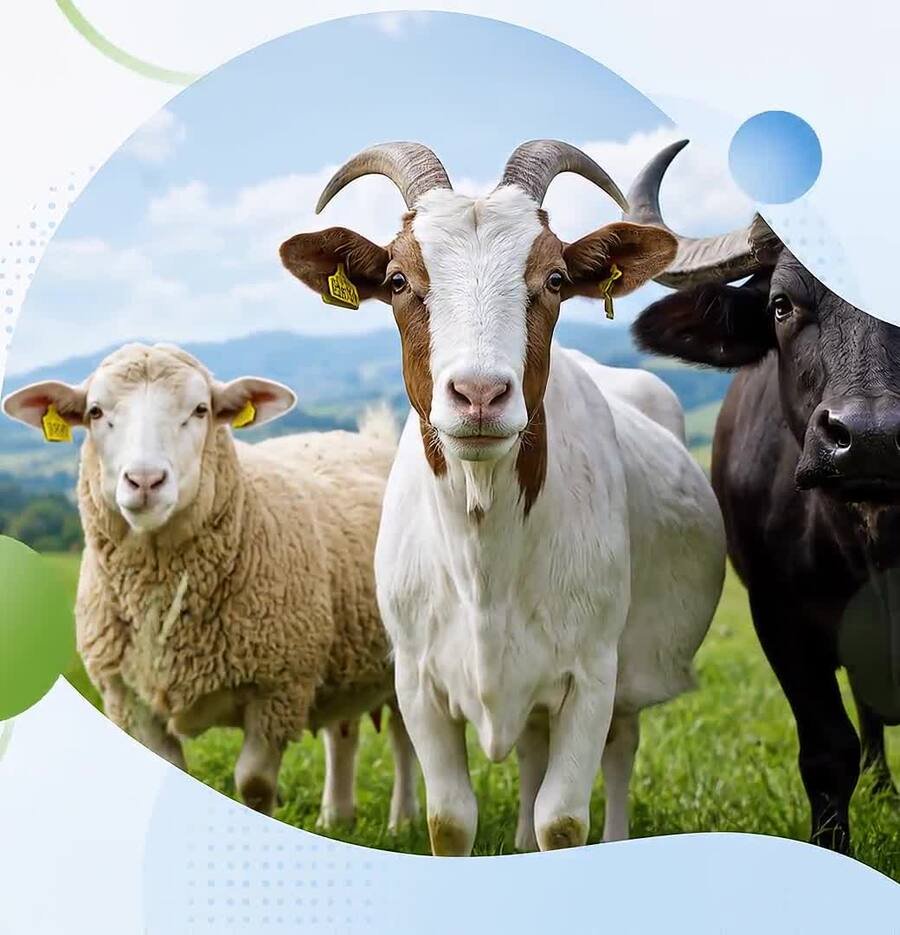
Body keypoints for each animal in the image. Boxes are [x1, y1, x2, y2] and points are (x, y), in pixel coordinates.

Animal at [2, 342, 418, 828]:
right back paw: (336, 817)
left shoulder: (277, 690)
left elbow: (254, 784)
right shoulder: (129, 698)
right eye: (95, 411)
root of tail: (368, 439)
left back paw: (403, 820)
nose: (145, 480)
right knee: (344, 730)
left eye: (200, 410)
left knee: (404, 738)